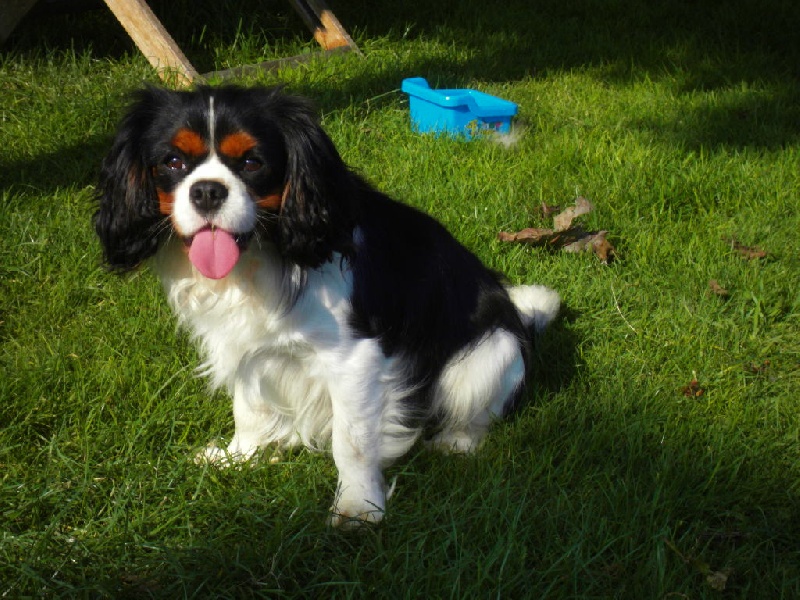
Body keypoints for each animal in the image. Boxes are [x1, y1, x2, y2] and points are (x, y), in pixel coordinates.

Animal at [95, 85, 560, 526]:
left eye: (252, 163)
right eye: (172, 161)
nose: (208, 191)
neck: (259, 257)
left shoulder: (355, 360)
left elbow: (351, 442)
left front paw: (359, 507)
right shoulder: (248, 347)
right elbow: (248, 409)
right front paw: (241, 457)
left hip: (490, 353)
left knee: (478, 410)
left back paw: (456, 441)